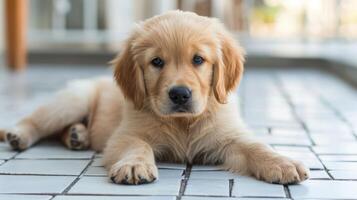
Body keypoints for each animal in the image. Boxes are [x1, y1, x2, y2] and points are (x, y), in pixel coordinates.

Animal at [1, 10, 308, 185]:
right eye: (157, 62)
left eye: (198, 59)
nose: (180, 94)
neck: (183, 123)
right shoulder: (124, 135)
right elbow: (138, 144)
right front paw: (135, 165)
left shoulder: (228, 137)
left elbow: (256, 146)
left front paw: (282, 162)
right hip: (73, 99)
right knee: (38, 121)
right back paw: (19, 134)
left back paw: (77, 135)